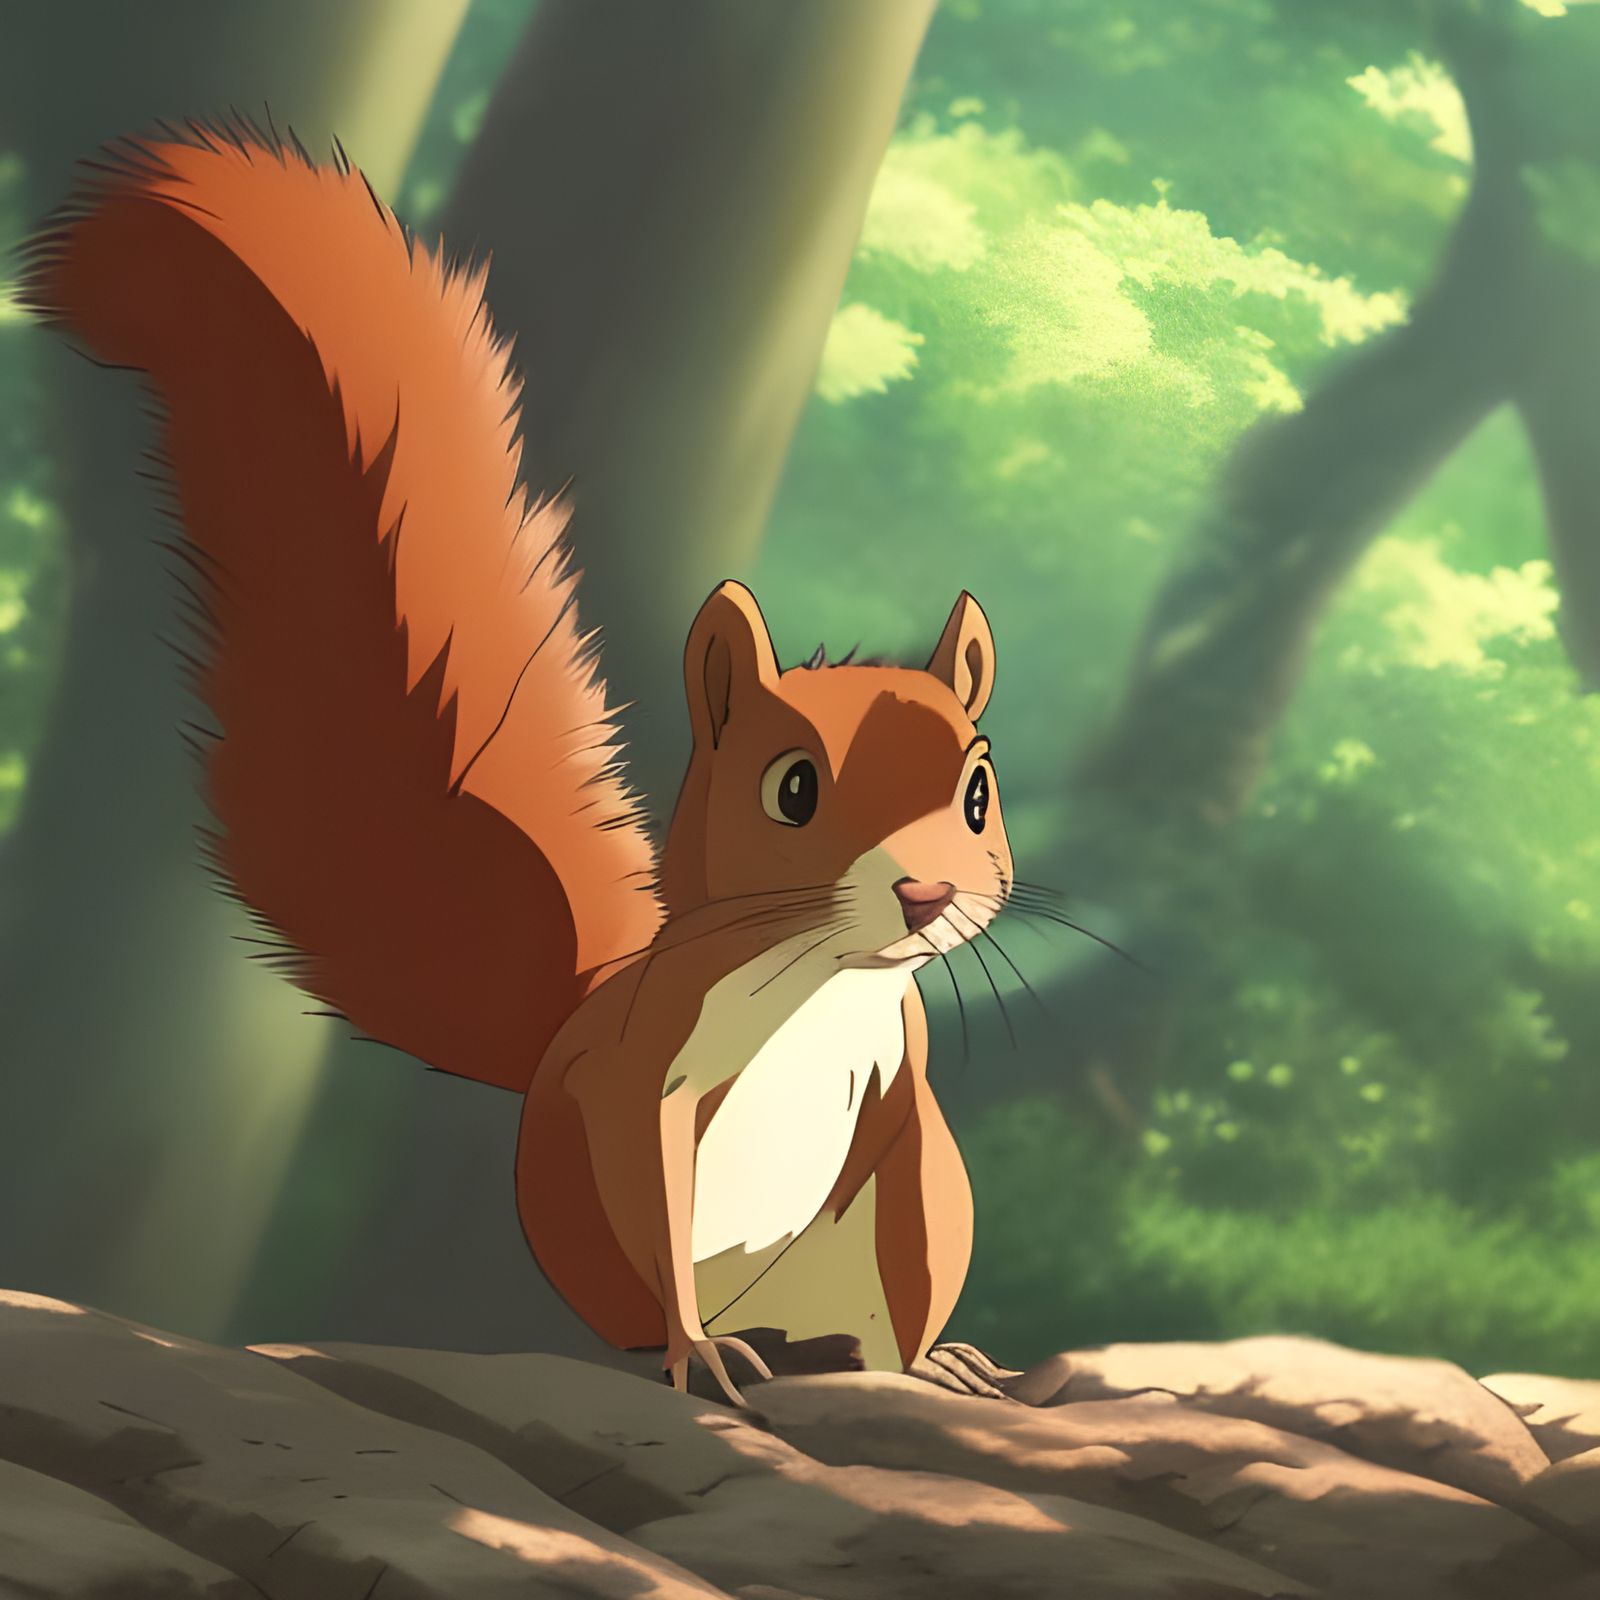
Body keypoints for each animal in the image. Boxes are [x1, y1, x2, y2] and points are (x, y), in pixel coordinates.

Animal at [22, 123, 1015, 1405]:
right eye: (792, 789)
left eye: (978, 792)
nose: (927, 891)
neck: (816, 979)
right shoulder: (646, 1074)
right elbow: (649, 1181)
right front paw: (694, 1349)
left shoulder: (904, 1102)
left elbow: (908, 1232)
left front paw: (926, 1363)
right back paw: (696, 1344)